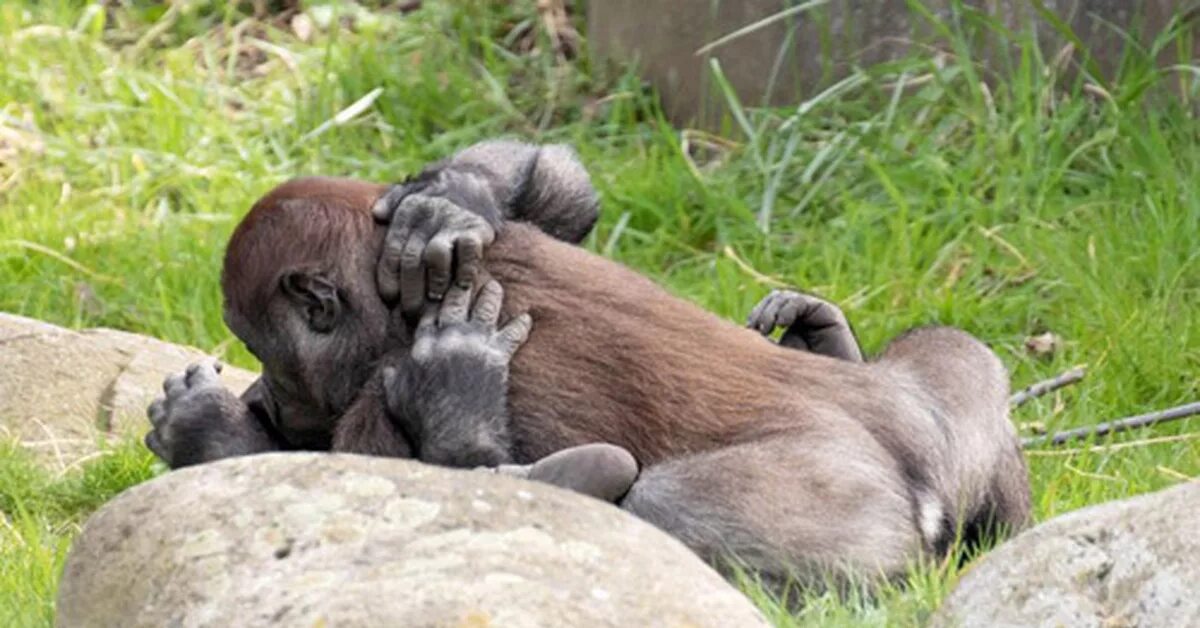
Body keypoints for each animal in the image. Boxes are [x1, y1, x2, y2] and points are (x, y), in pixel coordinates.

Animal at [145, 142, 1032, 590]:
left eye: (262, 348)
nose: (266, 394)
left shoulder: (371, 403)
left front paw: (208, 432)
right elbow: (557, 192)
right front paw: (456, 197)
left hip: (844, 502)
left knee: (664, 507)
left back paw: (581, 477)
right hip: (946, 405)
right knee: (955, 353)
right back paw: (831, 340)